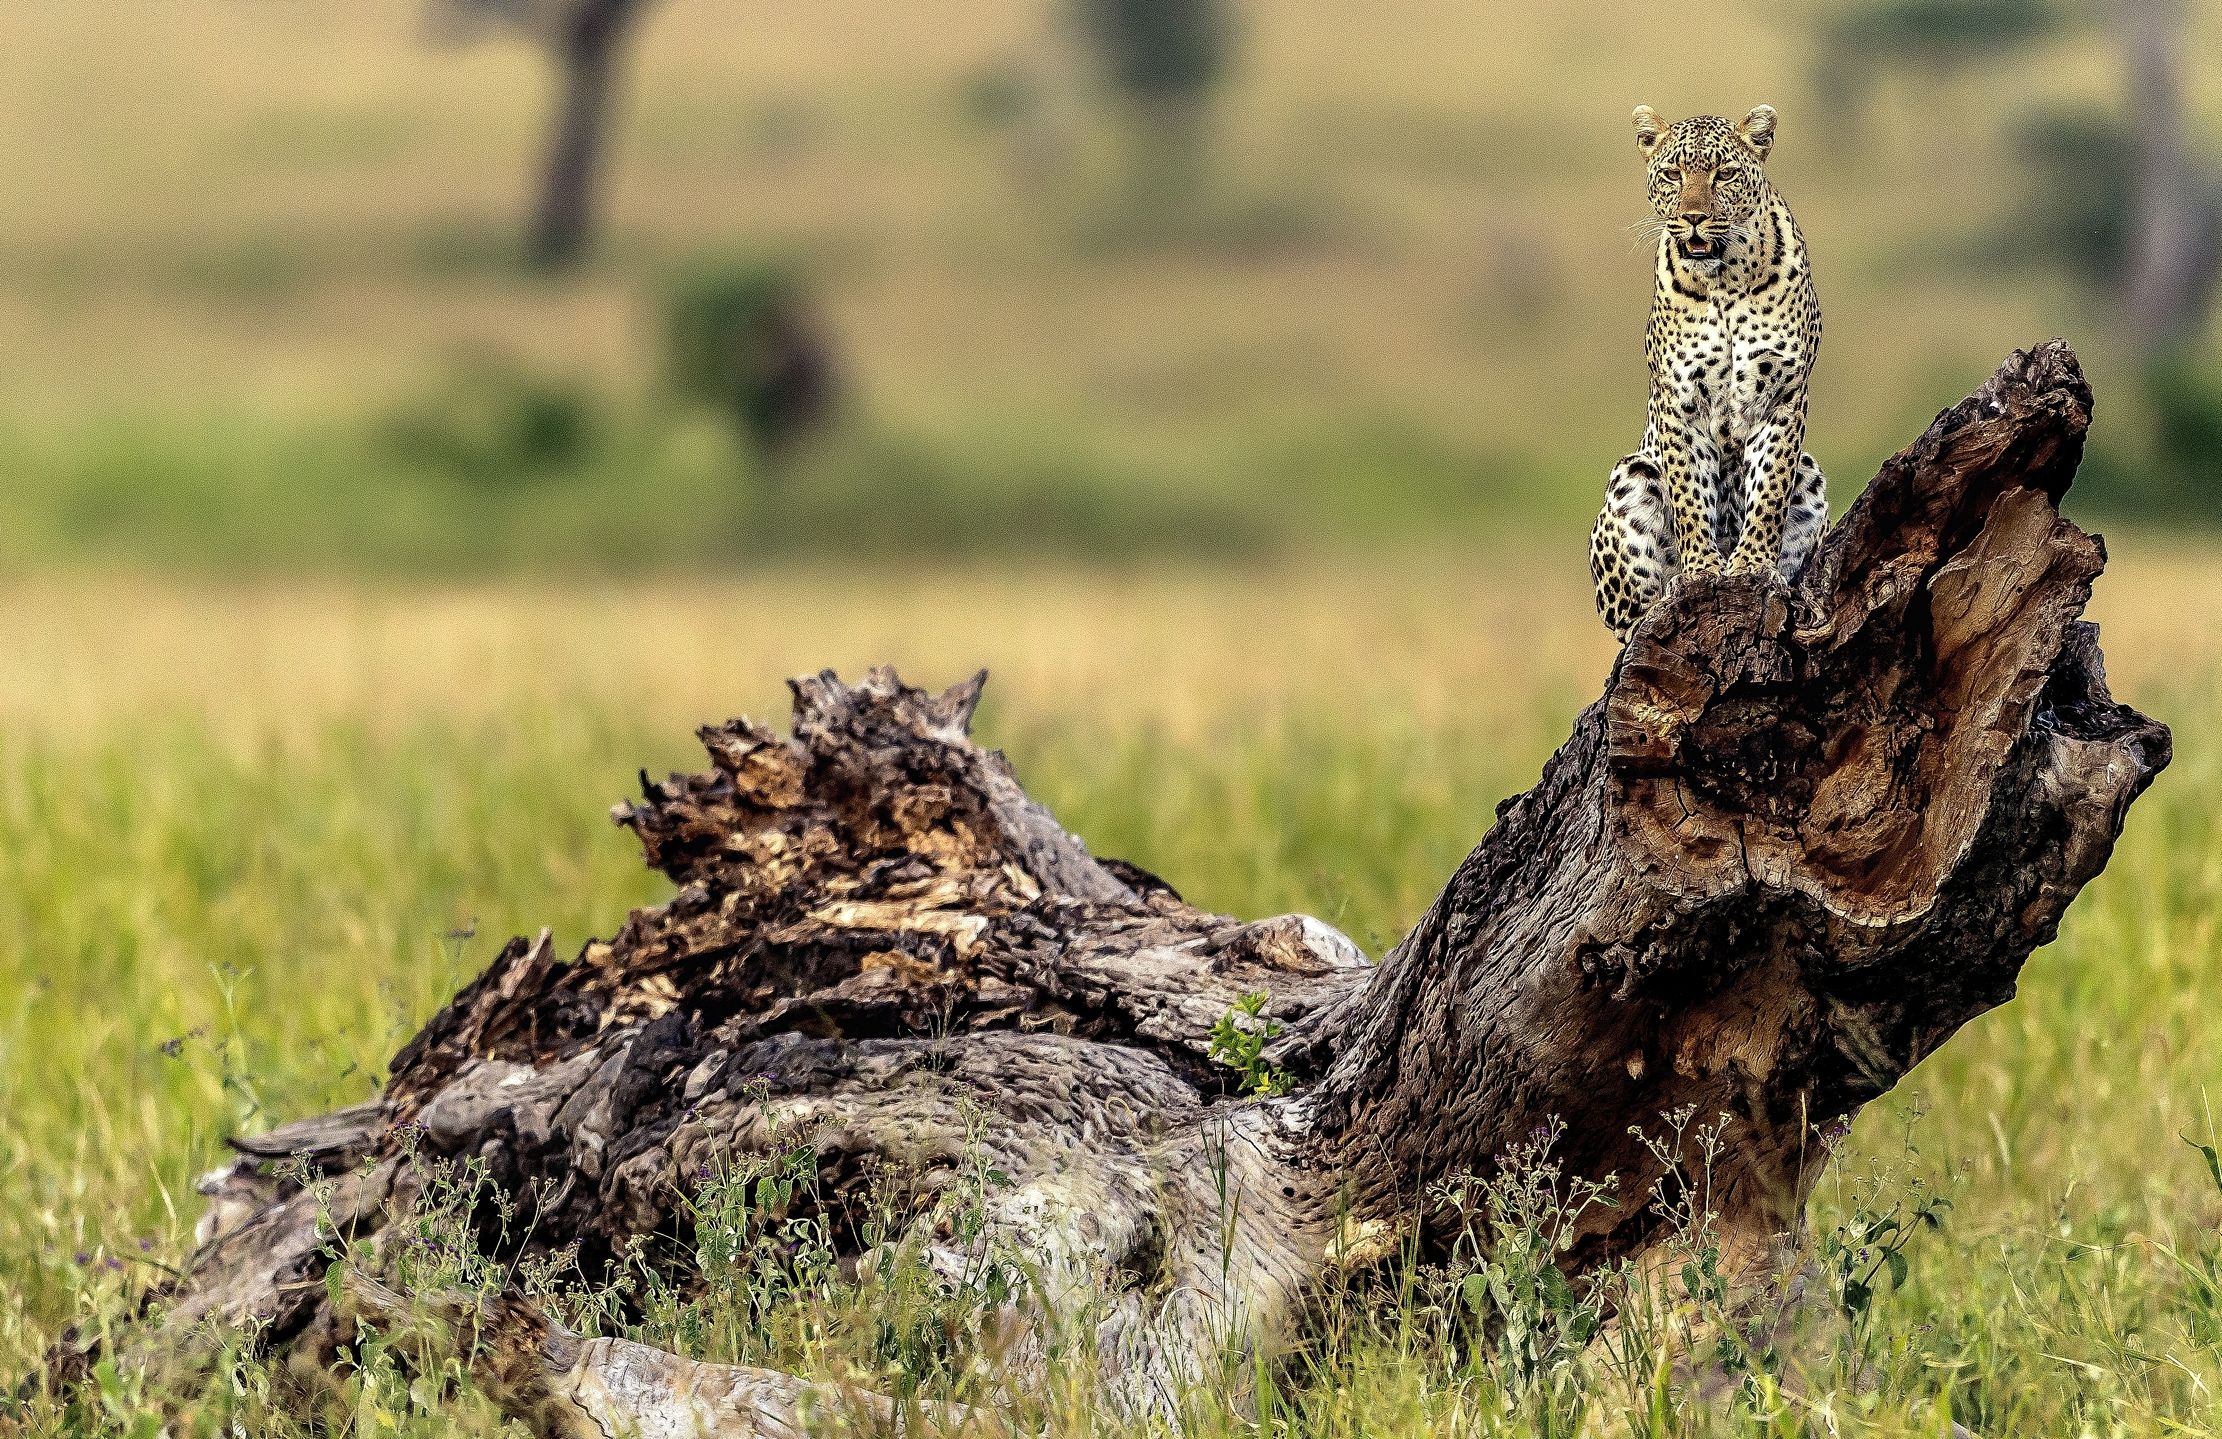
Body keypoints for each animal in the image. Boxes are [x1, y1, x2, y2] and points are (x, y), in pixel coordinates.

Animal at [1589, 103, 1829, 641]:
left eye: (1724, 174)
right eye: (1672, 174)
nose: (1694, 218)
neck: (1725, 281)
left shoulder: (1783, 393)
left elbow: (1769, 490)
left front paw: (1751, 565)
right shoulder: (1679, 401)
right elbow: (1689, 494)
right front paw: (1701, 571)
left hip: (1811, 474)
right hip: (1631, 474)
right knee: (1627, 625)